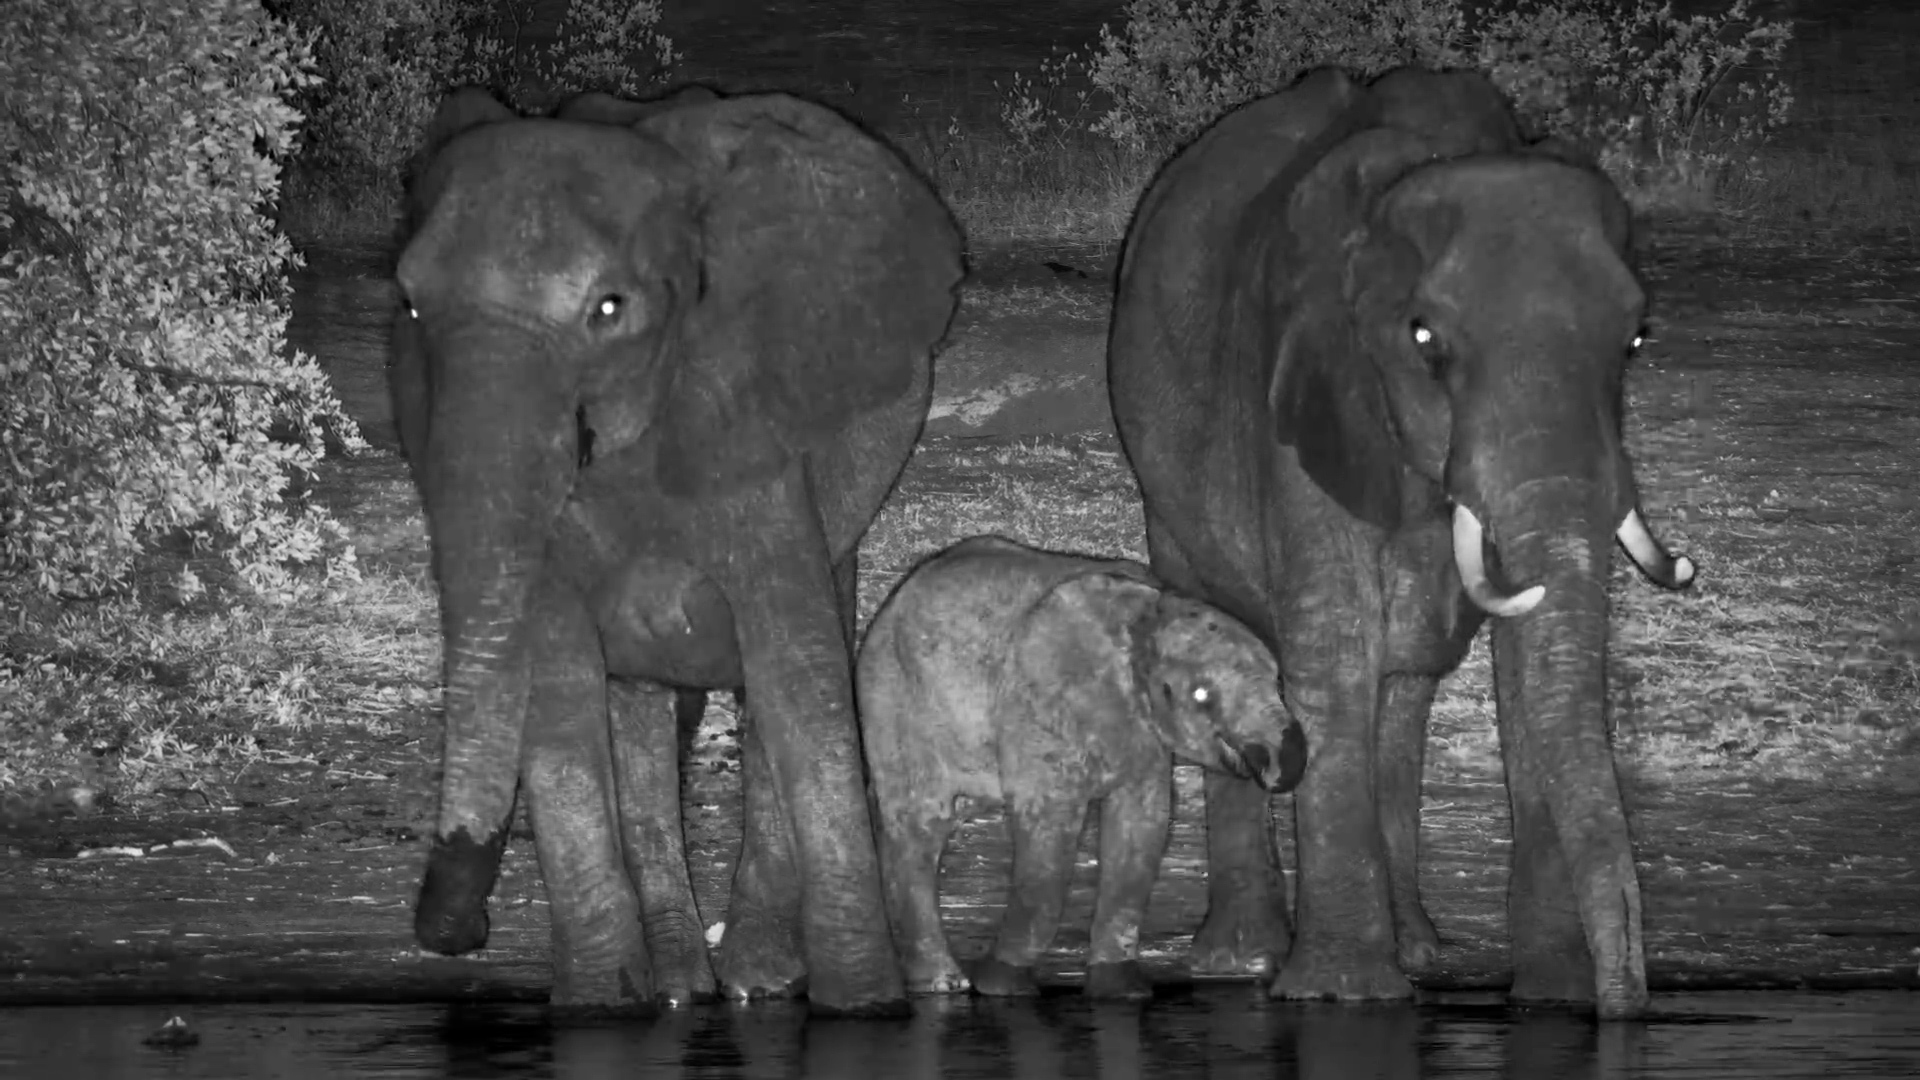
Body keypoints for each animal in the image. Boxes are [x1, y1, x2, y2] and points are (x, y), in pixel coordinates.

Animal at [391, 85, 963, 1016]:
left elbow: (799, 671)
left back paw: (760, 980)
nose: (461, 931)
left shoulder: (751, 417)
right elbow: (560, 690)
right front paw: (596, 1007)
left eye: (609, 309)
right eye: (406, 304)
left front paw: (866, 1009)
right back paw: (678, 989)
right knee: (636, 713)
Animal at [856, 536, 1309, 1000]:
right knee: (921, 824)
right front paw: (1004, 988)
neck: (1149, 612)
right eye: (1201, 695)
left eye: (1277, 681)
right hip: (893, 702)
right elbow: (1050, 826)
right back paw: (942, 984)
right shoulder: (1037, 699)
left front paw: (1122, 990)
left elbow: (1141, 825)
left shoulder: (1143, 730)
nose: (1268, 766)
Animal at [1106, 66, 1696, 1019]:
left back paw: (1418, 949)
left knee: (1407, 685)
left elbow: (1523, 682)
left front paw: (1553, 1002)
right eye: (1425, 340)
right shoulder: (1303, 390)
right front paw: (1343, 998)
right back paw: (1242, 961)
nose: (1627, 1008)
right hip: (1160, 468)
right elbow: (1335, 647)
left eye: (1637, 339)